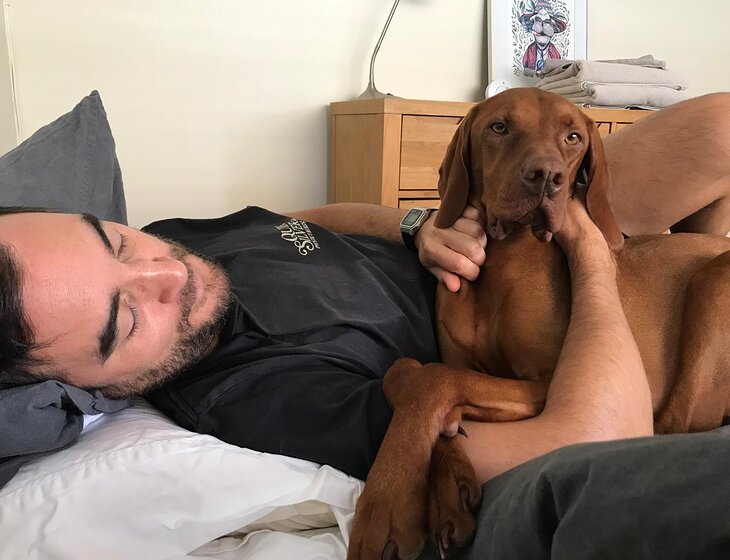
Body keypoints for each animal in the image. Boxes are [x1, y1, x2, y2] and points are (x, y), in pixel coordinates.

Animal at [347, 88, 730, 560]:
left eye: (572, 137)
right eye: (499, 127)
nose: (546, 176)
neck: (501, 259)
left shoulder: (545, 383)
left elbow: (432, 378)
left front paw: (387, 500)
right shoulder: (470, 366)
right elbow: (407, 371)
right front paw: (450, 486)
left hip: (713, 281)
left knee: (675, 424)